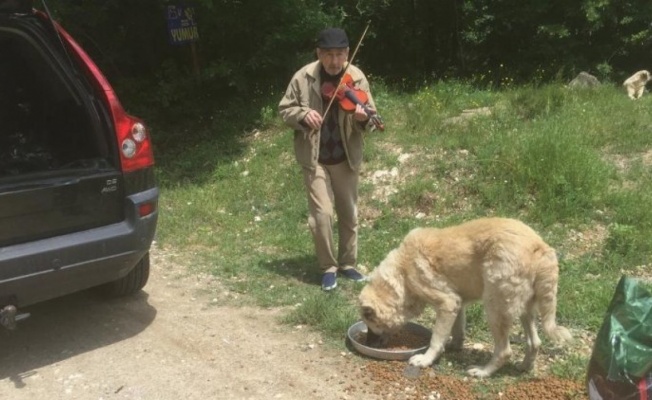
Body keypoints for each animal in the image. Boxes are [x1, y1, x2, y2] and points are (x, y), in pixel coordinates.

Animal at [360, 217, 572, 376]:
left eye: (370, 324)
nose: (368, 344)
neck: (402, 273)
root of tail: (540, 247)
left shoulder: (447, 302)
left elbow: (436, 339)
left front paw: (426, 360)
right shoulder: (457, 303)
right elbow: (457, 330)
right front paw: (453, 346)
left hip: (495, 308)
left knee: (504, 351)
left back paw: (483, 372)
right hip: (523, 309)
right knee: (535, 342)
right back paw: (525, 367)